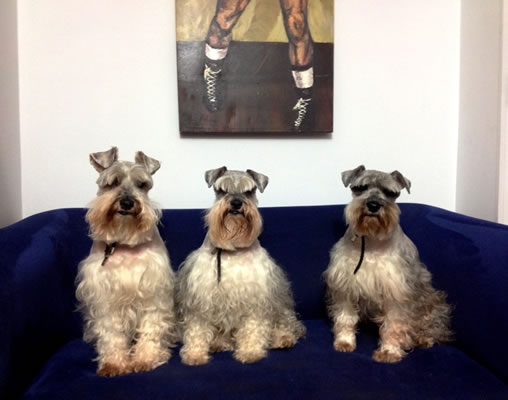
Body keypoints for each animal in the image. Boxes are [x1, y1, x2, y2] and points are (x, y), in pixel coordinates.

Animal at [75, 147, 176, 376]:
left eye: (142, 184)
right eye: (112, 183)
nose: (127, 203)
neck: (123, 242)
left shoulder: (153, 291)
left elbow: (151, 328)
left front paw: (146, 359)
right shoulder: (105, 296)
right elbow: (111, 332)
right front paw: (114, 363)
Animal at [176, 167, 305, 365]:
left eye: (249, 191)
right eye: (221, 189)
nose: (236, 203)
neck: (233, 248)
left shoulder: (256, 297)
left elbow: (253, 327)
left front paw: (250, 351)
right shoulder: (201, 298)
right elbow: (197, 329)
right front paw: (195, 354)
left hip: (280, 303)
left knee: (287, 323)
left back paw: (283, 338)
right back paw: (220, 343)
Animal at [324, 165, 452, 363]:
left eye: (391, 193)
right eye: (360, 187)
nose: (373, 205)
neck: (371, 241)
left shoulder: (396, 292)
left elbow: (394, 324)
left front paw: (389, 351)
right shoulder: (345, 286)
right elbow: (346, 317)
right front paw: (344, 341)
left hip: (431, 301)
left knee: (432, 325)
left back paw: (423, 338)